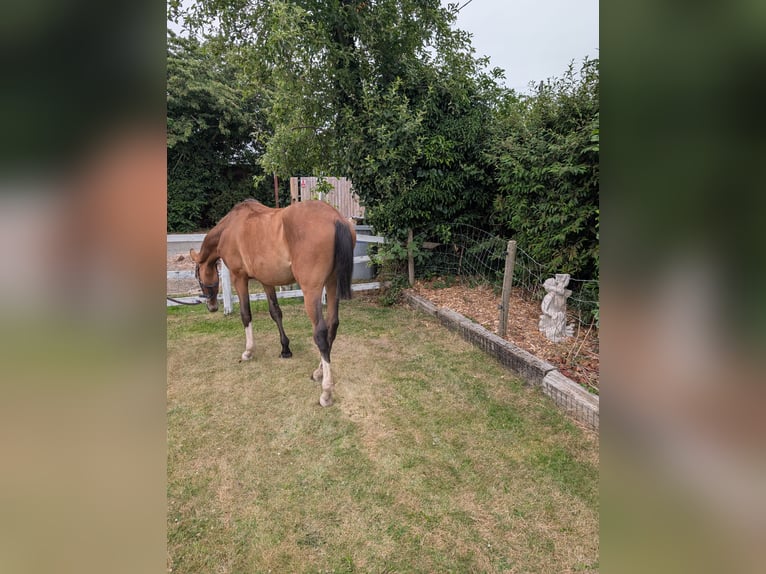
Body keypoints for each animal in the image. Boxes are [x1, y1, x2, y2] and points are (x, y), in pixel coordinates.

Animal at [189, 199, 357, 407]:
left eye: (197, 274)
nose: (211, 306)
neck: (230, 227)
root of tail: (335, 218)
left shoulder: (239, 278)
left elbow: (246, 314)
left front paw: (248, 351)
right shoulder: (266, 280)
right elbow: (275, 312)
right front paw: (285, 349)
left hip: (312, 291)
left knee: (321, 333)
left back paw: (326, 392)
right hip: (332, 284)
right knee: (333, 325)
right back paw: (319, 372)